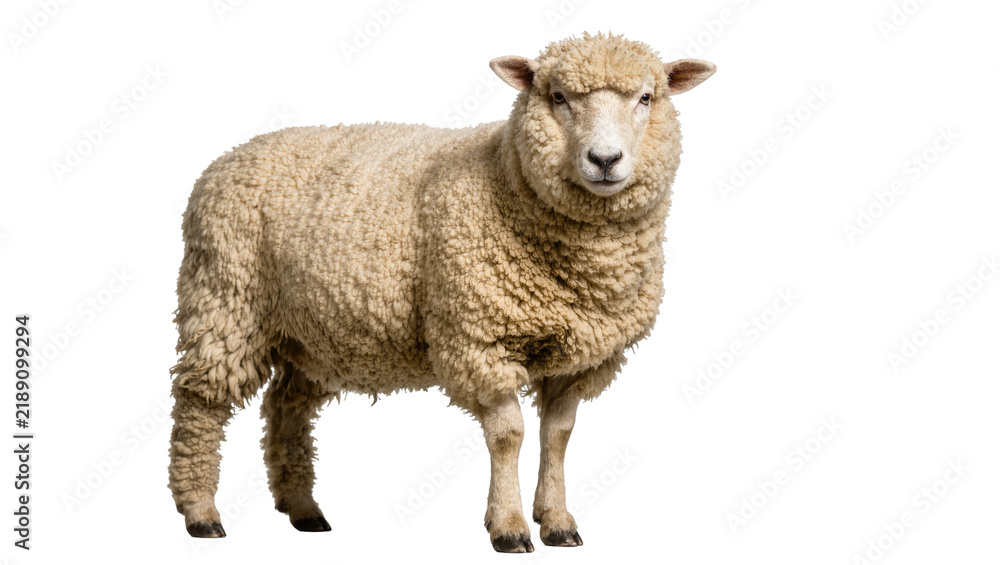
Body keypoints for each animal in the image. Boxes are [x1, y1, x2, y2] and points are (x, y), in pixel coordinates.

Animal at [167, 32, 715, 552]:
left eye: (646, 97)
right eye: (558, 97)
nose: (604, 160)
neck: (505, 177)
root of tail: (226, 159)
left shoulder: (579, 356)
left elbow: (557, 436)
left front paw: (557, 521)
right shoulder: (480, 339)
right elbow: (510, 435)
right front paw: (509, 527)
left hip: (312, 333)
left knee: (285, 406)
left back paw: (304, 509)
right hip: (225, 299)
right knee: (199, 401)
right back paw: (201, 513)